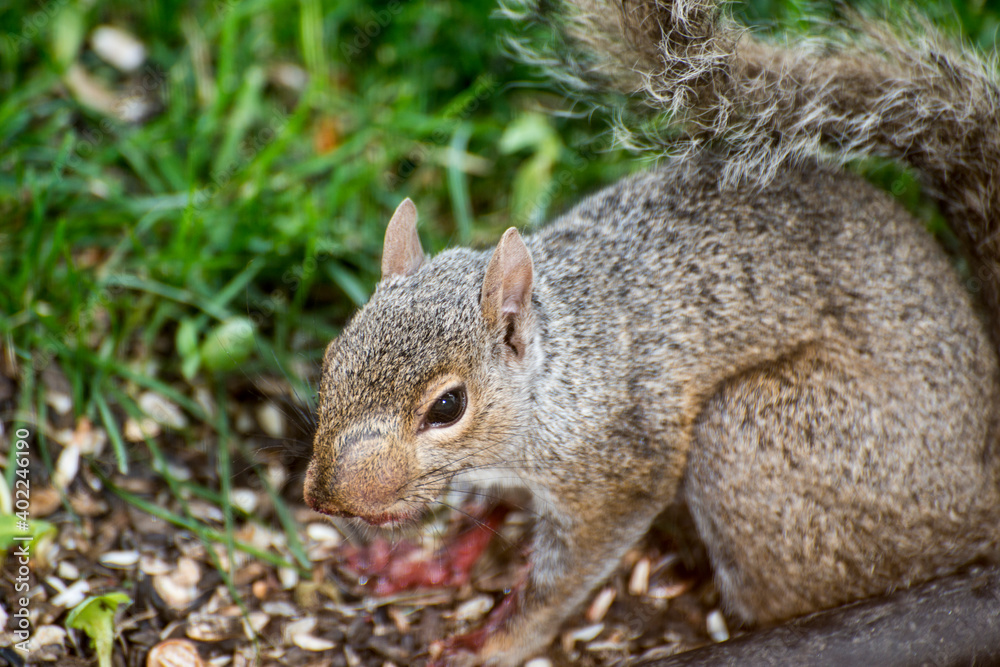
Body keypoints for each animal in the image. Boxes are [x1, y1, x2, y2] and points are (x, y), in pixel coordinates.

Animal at [304, 0, 1000, 664]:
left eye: (448, 406)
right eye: (331, 358)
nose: (327, 499)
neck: (556, 376)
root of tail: (980, 486)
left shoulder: (618, 473)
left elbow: (561, 577)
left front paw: (496, 640)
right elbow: (487, 506)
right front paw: (426, 560)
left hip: (761, 437)